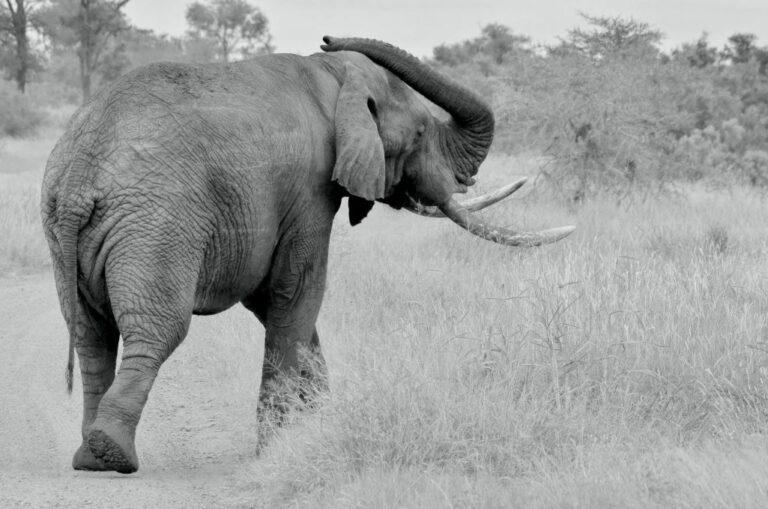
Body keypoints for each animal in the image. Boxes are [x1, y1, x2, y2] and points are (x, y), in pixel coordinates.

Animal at [41, 36, 574, 474]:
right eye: (421, 133)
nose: (328, 36)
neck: (333, 75)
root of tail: (79, 176)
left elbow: (278, 304)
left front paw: (319, 424)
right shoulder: (310, 188)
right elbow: (296, 291)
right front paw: (278, 448)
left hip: (70, 229)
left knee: (90, 335)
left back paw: (89, 456)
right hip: (157, 225)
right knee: (155, 331)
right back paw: (113, 455)